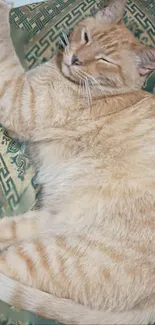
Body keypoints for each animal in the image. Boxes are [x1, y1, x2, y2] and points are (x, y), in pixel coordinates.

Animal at [0, 0, 155, 322]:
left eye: (105, 60)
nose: (75, 59)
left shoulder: (18, 99)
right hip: (45, 222)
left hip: (54, 256)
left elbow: (3, 41)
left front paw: (6, 6)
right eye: (85, 37)